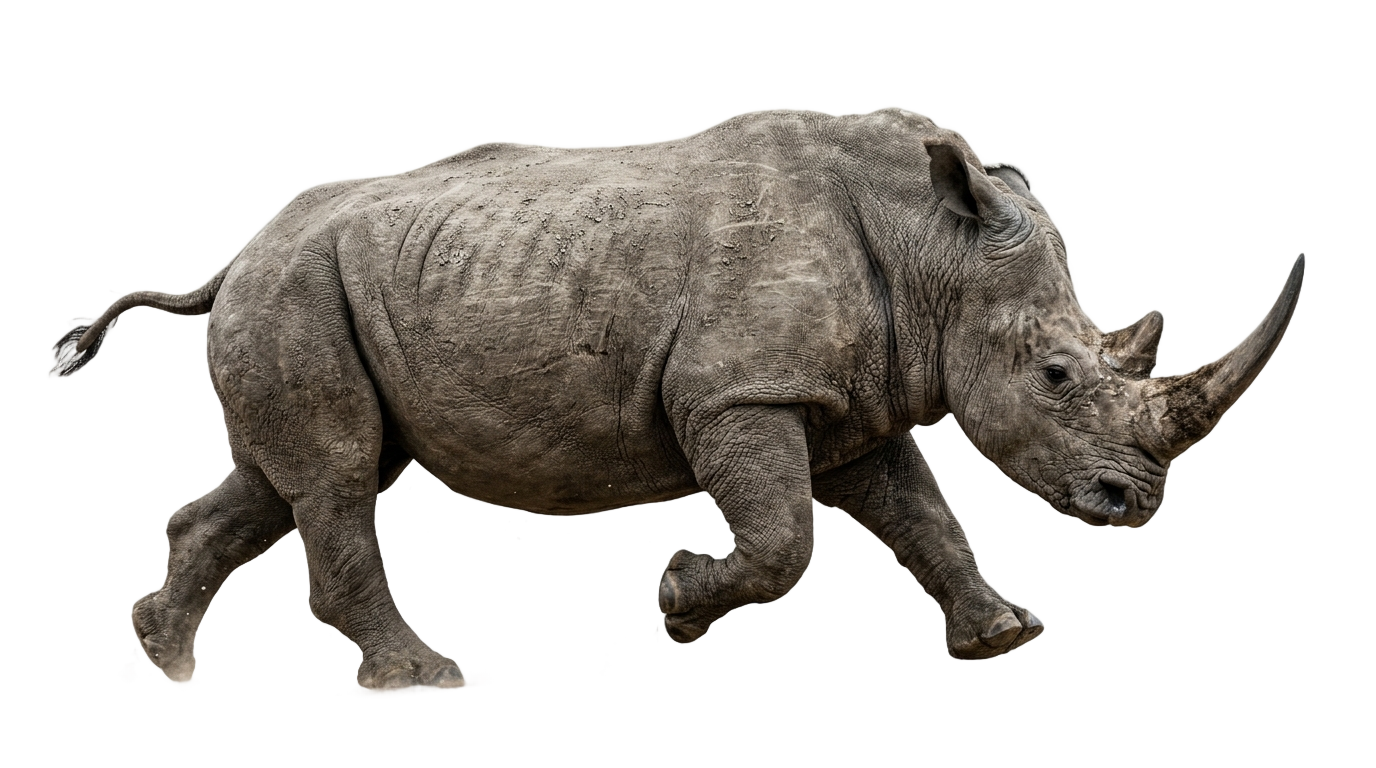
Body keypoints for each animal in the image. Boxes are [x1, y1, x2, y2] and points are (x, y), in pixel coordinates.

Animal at [55, 109, 1303, 687]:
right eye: (1055, 377)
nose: (1132, 504)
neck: (927, 252)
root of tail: (241, 249)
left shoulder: (846, 400)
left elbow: (922, 518)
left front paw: (1003, 637)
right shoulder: (735, 393)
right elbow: (783, 533)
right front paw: (680, 604)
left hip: (304, 291)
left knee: (287, 487)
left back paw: (169, 664)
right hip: (296, 290)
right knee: (336, 483)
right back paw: (421, 692)